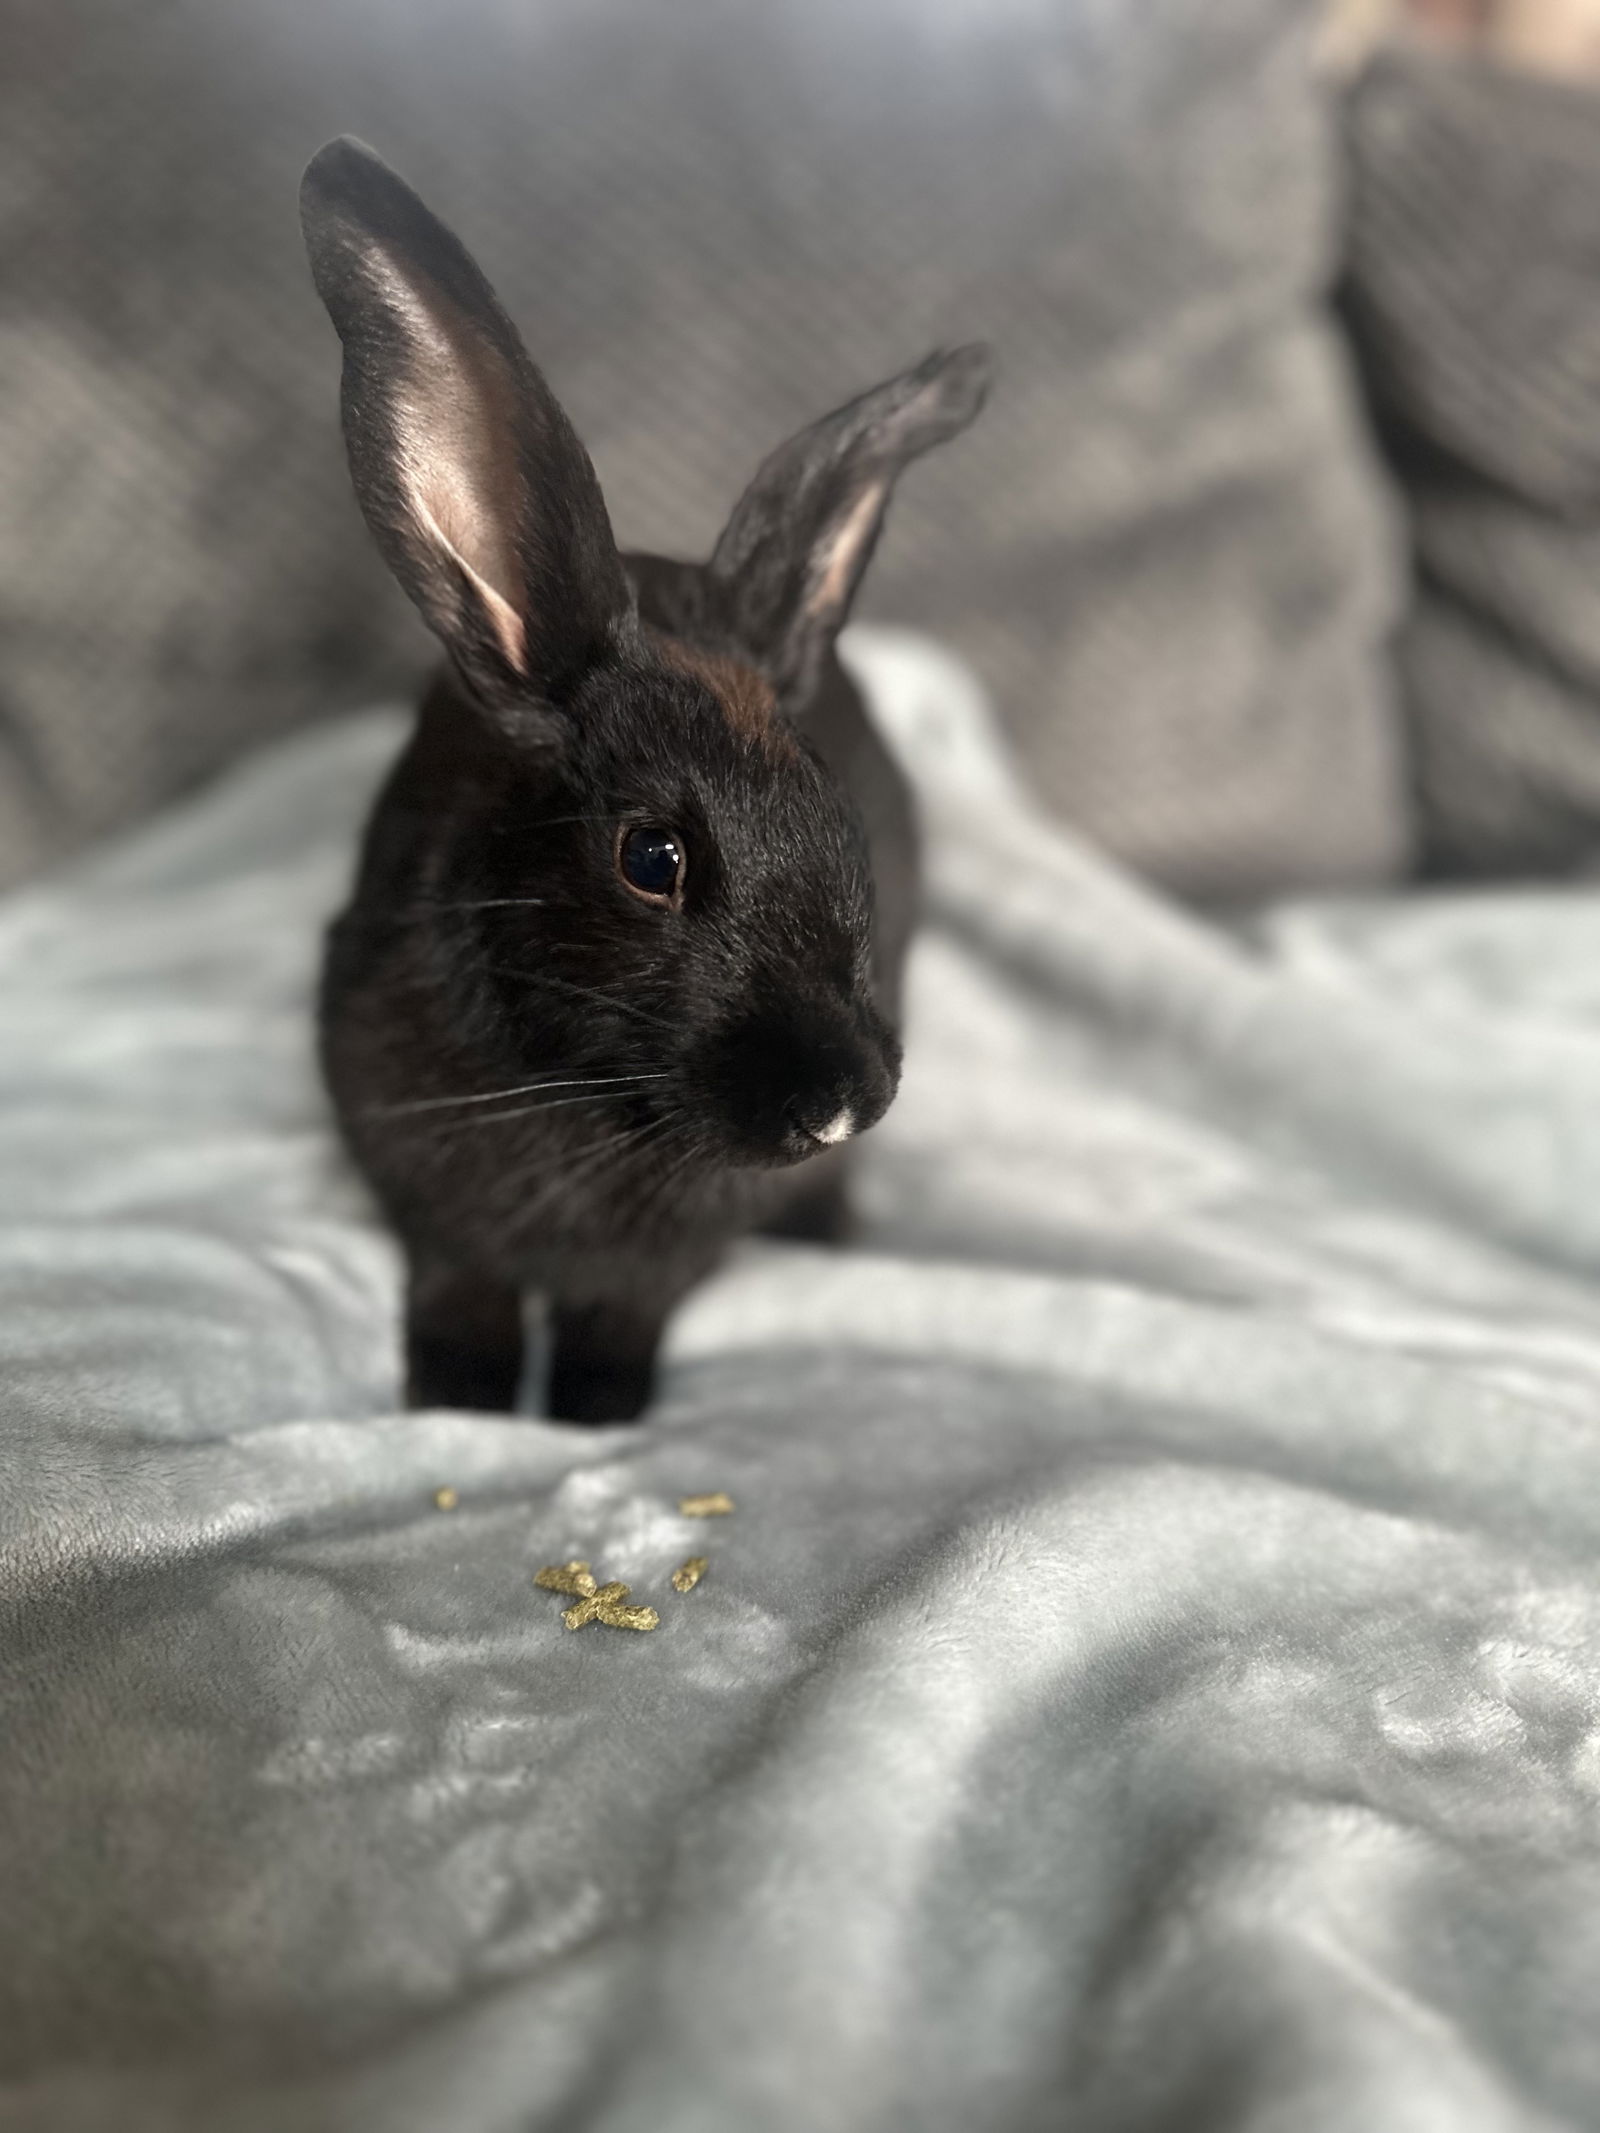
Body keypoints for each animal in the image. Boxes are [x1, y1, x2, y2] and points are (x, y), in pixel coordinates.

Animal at [294, 141, 985, 1424]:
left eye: (840, 820)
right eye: (651, 859)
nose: (845, 1102)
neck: (584, 1092)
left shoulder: (663, 1261)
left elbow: (625, 1308)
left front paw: (592, 1409)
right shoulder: (423, 1201)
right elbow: (457, 1286)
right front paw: (461, 1402)